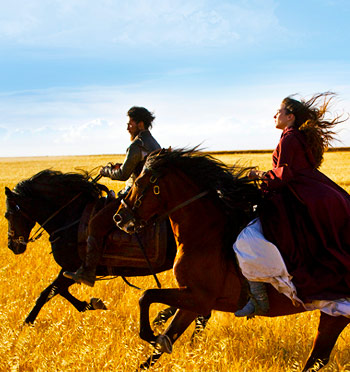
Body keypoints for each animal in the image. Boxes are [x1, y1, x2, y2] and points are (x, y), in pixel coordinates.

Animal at [4, 170, 185, 326]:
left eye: (7, 215)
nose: (12, 245)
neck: (71, 216)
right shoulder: (69, 270)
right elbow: (56, 291)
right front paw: (91, 304)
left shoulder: (73, 269)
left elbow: (47, 293)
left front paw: (25, 325)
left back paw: (161, 318)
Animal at [115, 149, 350, 372]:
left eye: (138, 183)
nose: (119, 217)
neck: (205, 235)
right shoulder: (191, 302)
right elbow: (161, 344)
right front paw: (158, 341)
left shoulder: (198, 298)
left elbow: (146, 296)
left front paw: (150, 333)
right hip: (334, 315)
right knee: (318, 359)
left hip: (335, 314)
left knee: (317, 359)